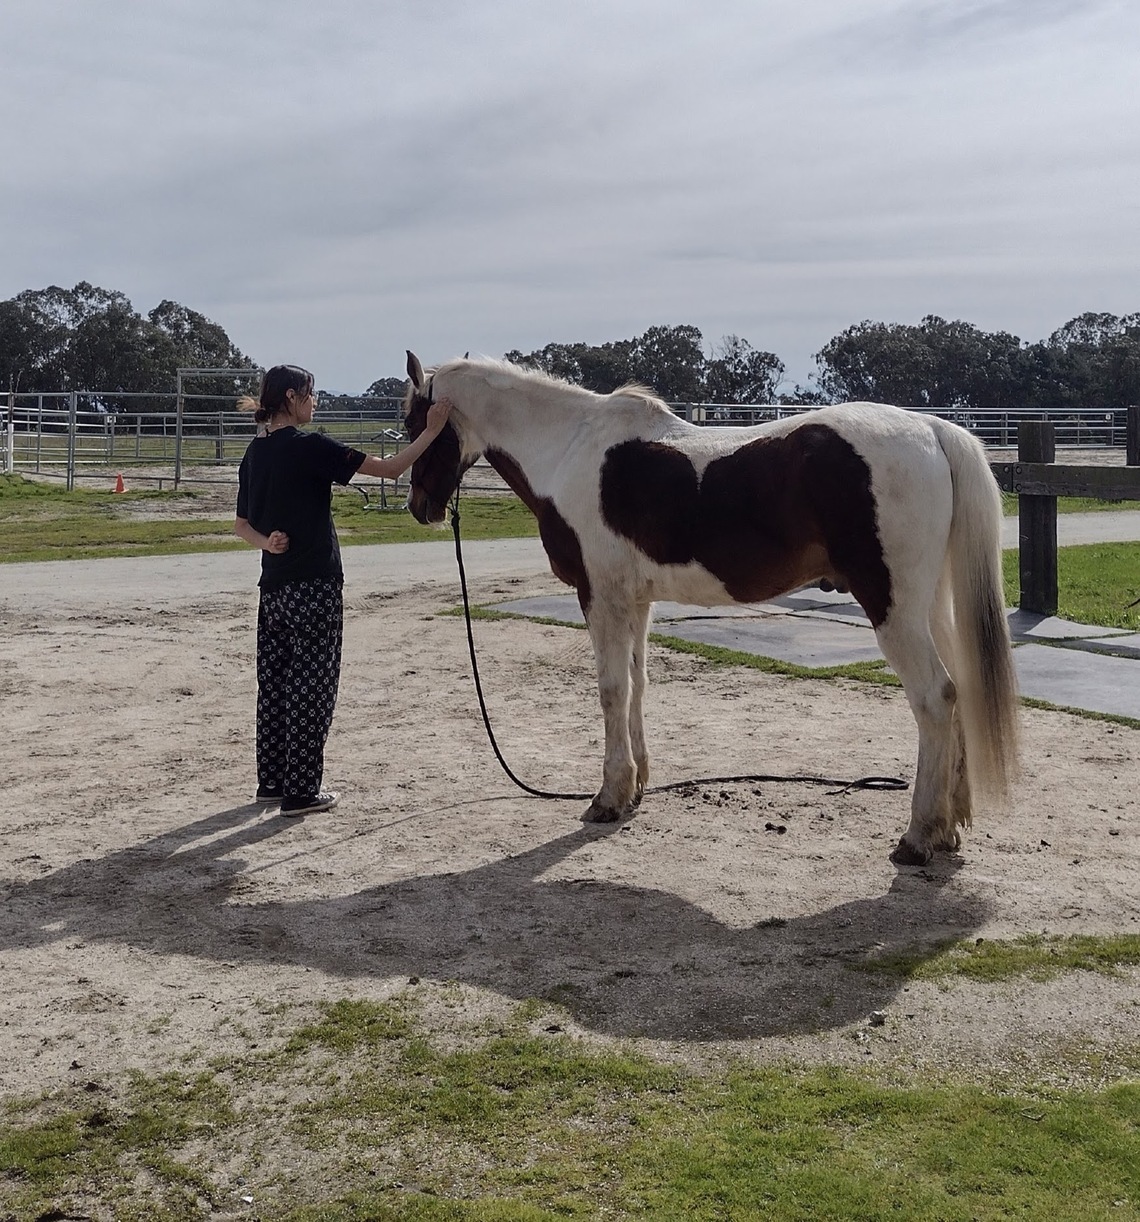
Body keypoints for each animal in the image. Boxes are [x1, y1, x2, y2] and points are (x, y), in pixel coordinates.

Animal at [403, 352, 1019, 866]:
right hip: (927, 607)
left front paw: (607, 797)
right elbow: (638, 685)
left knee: (934, 699)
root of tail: (932, 429)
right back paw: (948, 829)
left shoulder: (599, 597)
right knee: (957, 691)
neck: (569, 449)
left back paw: (917, 838)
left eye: (414, 425)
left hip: (892, 609)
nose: (419, 507)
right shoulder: (634, 602)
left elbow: (610, 691)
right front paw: (636, 788)